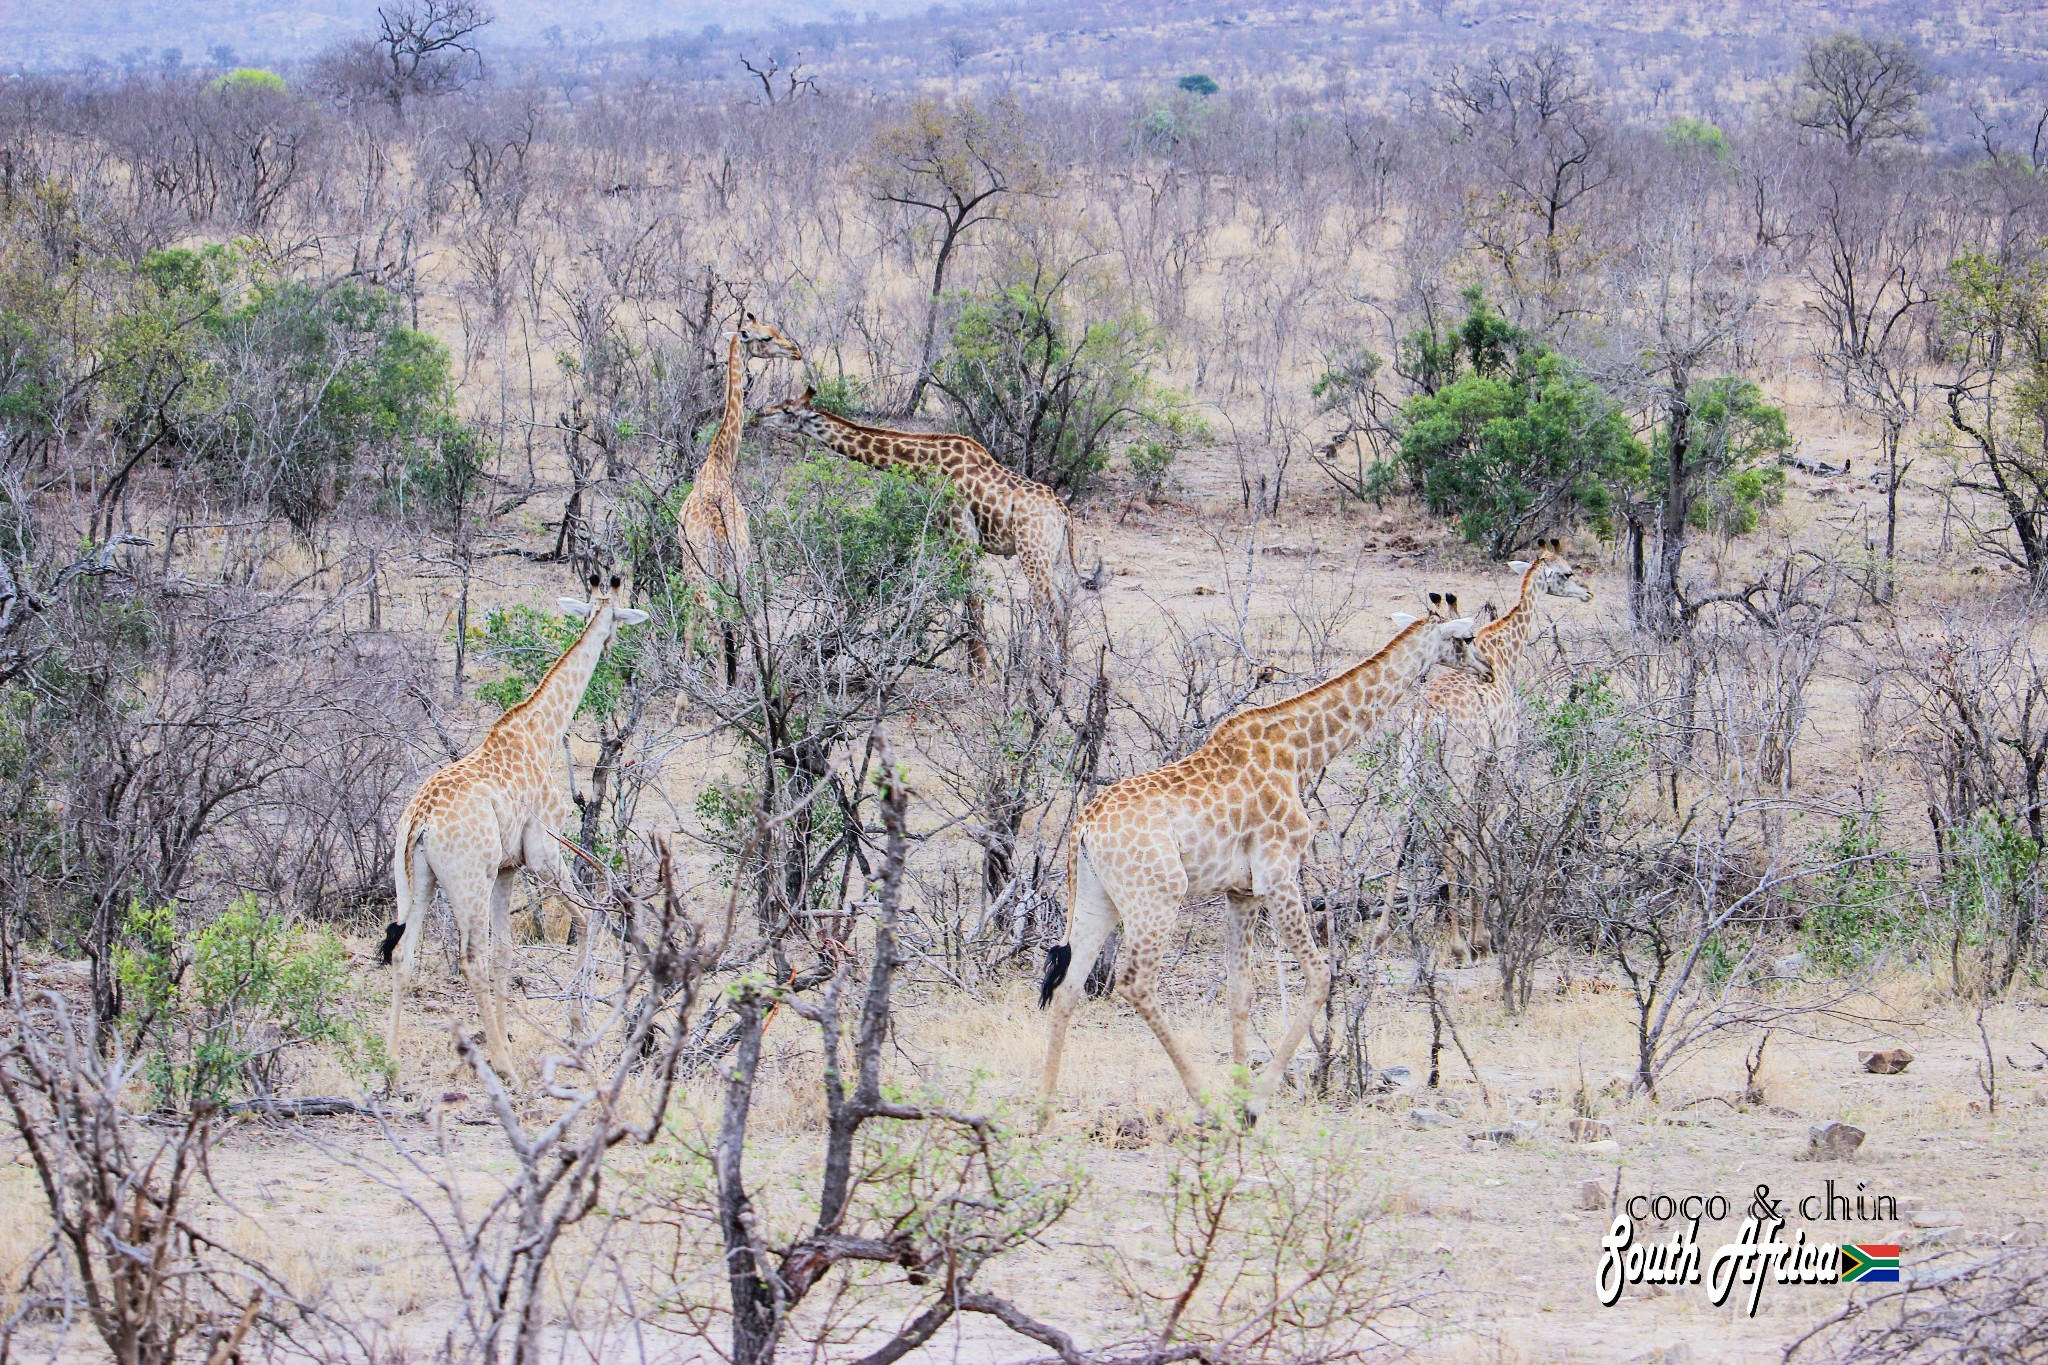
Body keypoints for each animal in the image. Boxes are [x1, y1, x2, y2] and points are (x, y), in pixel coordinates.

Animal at [378, 577, 647, 1088]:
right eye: (616, 619)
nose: (613, 648)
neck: (542, 730)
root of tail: (419, 823)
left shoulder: (507, 868)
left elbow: (506, 951)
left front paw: (507, 1032)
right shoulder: (542, 851)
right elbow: (587, 919)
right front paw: (576, 1029)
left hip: (416, 881)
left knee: (404, 954)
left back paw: (390, 1064)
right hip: (468, 880)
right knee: (469, 956)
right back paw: (503, 1068)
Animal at [671, 313, 798, 679]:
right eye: (766, 337)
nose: (795, 351)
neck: (718, 462)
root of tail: (717, 531)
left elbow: (690, 630)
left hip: (706, 575)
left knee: (717, 631)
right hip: (736, 569)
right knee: (739, 628)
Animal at [1040, 605, 1490, 1121]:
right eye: (1467, 637)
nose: (1488, 670)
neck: (1300, 749)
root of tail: (1082, 827)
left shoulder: (1242, 891)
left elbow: (1241, 993)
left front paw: (1242, 1097)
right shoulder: (1279, 873)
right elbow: (1320, 975)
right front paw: (1255, 1099)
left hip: (1098, 900)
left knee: (1068, 987)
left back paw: (1044, 1110)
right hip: (1156, 897)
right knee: (1134, 983)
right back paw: (1202, 1101)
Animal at [1384, 540, 1589, 961]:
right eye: (1568, 572)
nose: (1588, 592)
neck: (1506, 652)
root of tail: (1427, 719)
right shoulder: (1500, 759)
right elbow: (1489, 836)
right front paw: (1485, 937)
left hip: (1409, 774)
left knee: (1403, 836)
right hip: (1458, 774)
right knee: (1454, 841)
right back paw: (1460, 945)